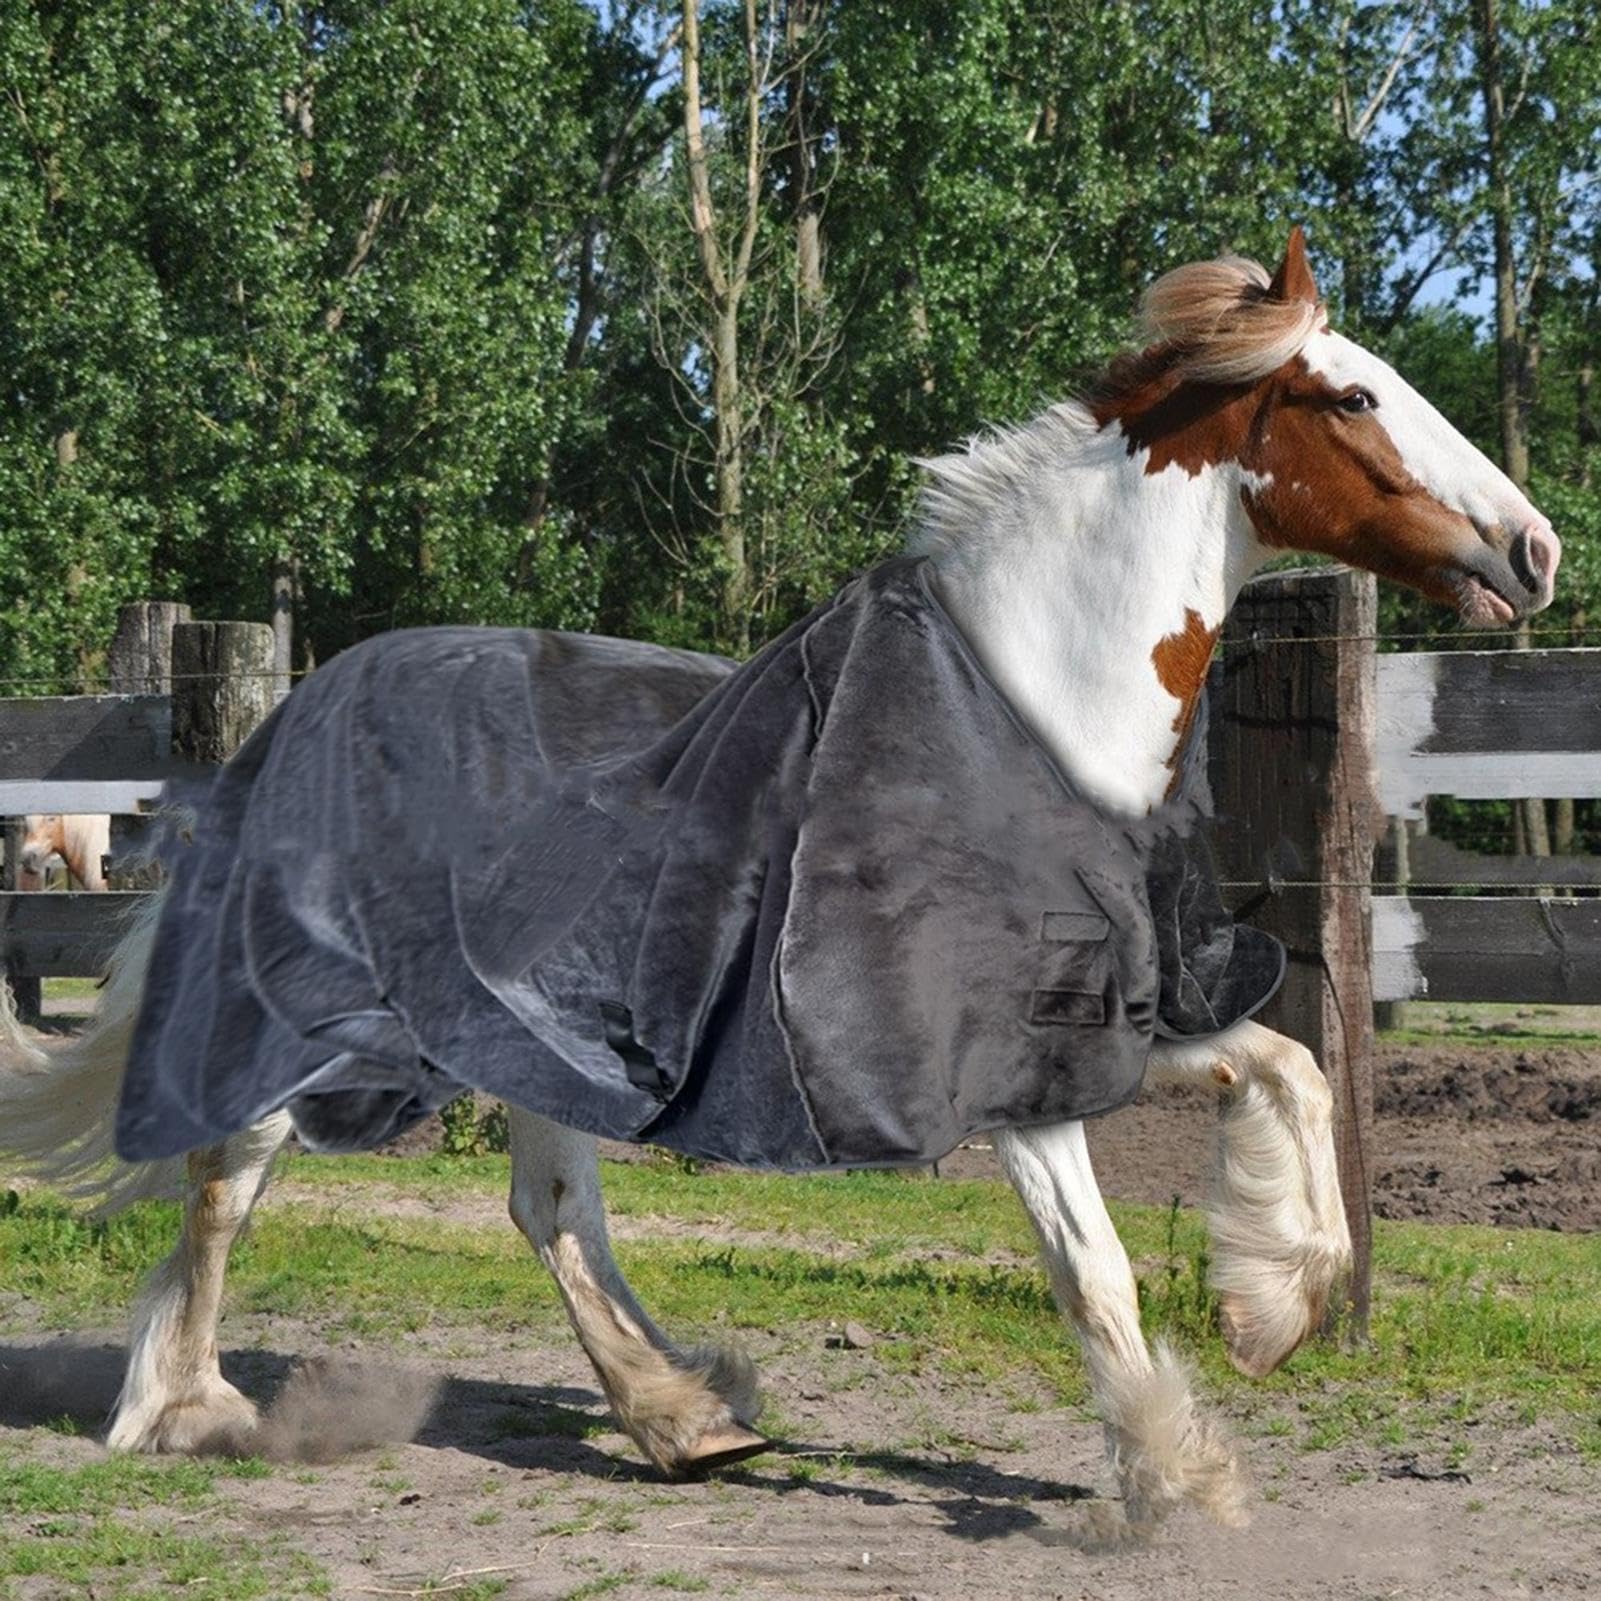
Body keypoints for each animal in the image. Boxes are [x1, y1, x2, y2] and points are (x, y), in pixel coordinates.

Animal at [0, 230, 1559, 1536]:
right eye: (1351, 396)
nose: (1534, 548)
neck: (1010, 717)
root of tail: (295, 712)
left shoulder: (1102, 1016)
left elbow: (1294, 1066)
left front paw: (1271, 1310)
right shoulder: (998, 1066)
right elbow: (1093, 1263)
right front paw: (1171, 1474)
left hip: (535, 1033)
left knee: (548, 1206)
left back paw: (684, 1415)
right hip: (328, 1018)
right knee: (228, 1167)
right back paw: (188, 1408)